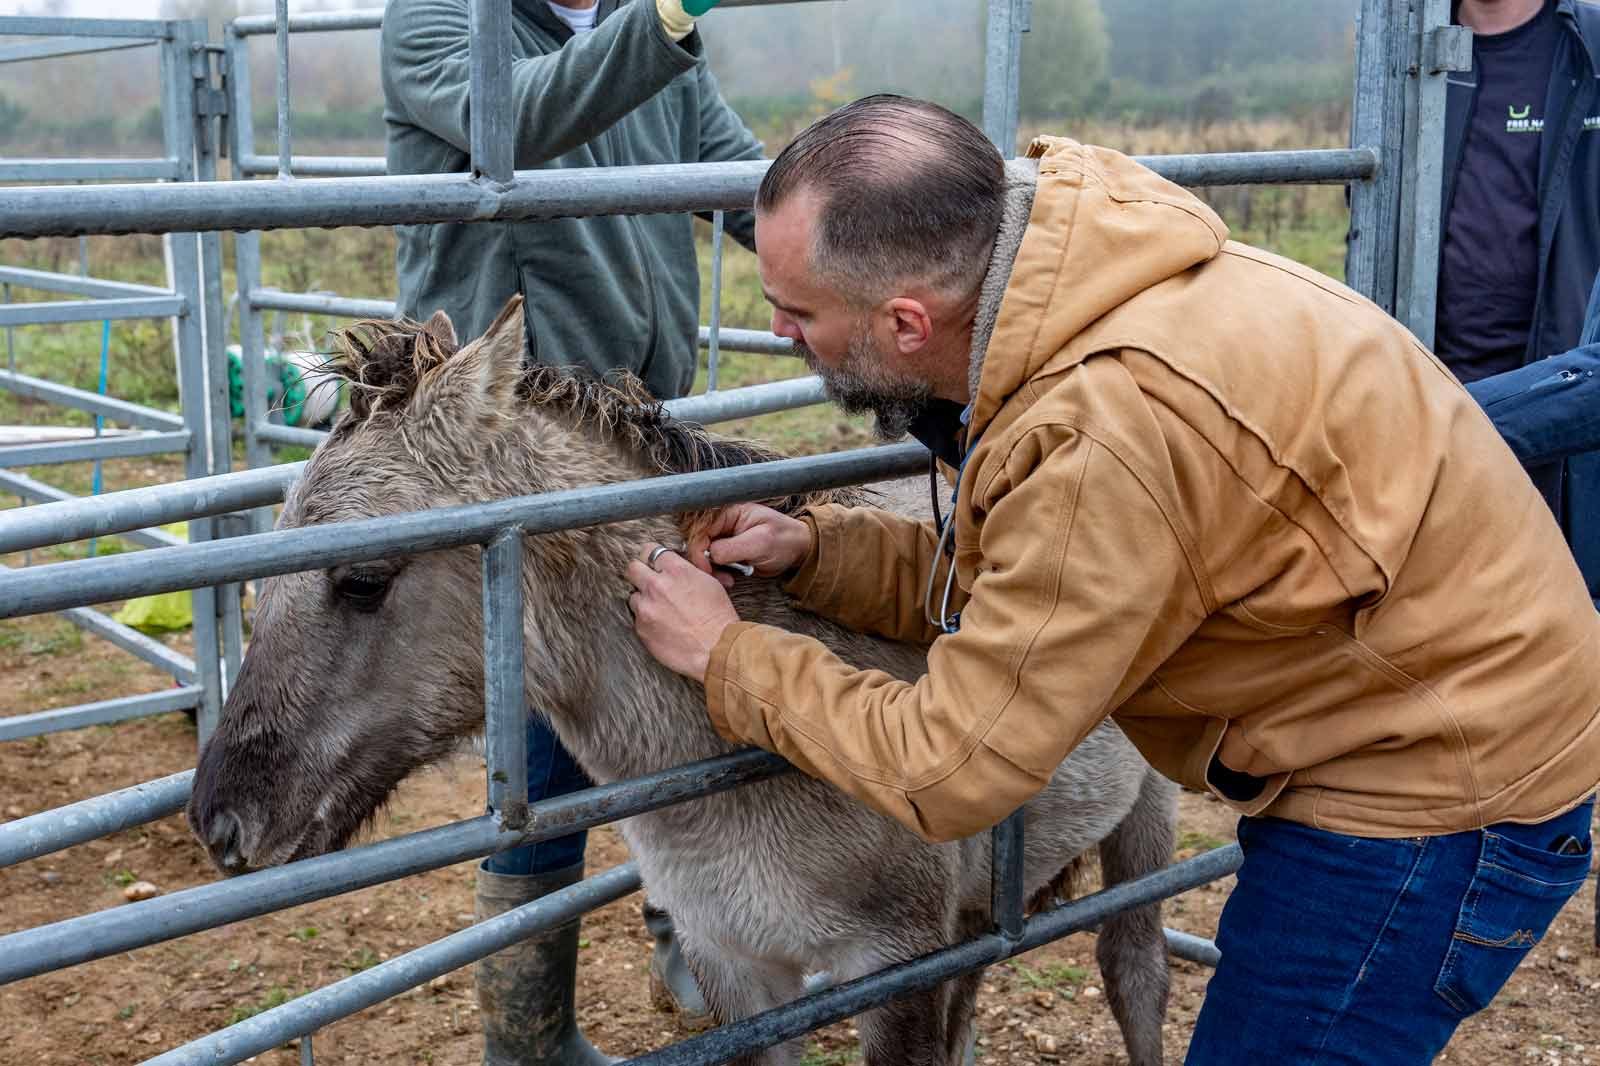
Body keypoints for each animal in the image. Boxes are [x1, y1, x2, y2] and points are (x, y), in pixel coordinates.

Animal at [187, 296, 1176, 1065]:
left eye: (363, 580)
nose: (220, 819)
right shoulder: (737, 966)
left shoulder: (895, 966)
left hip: (1146, 820)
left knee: (1135, 973)